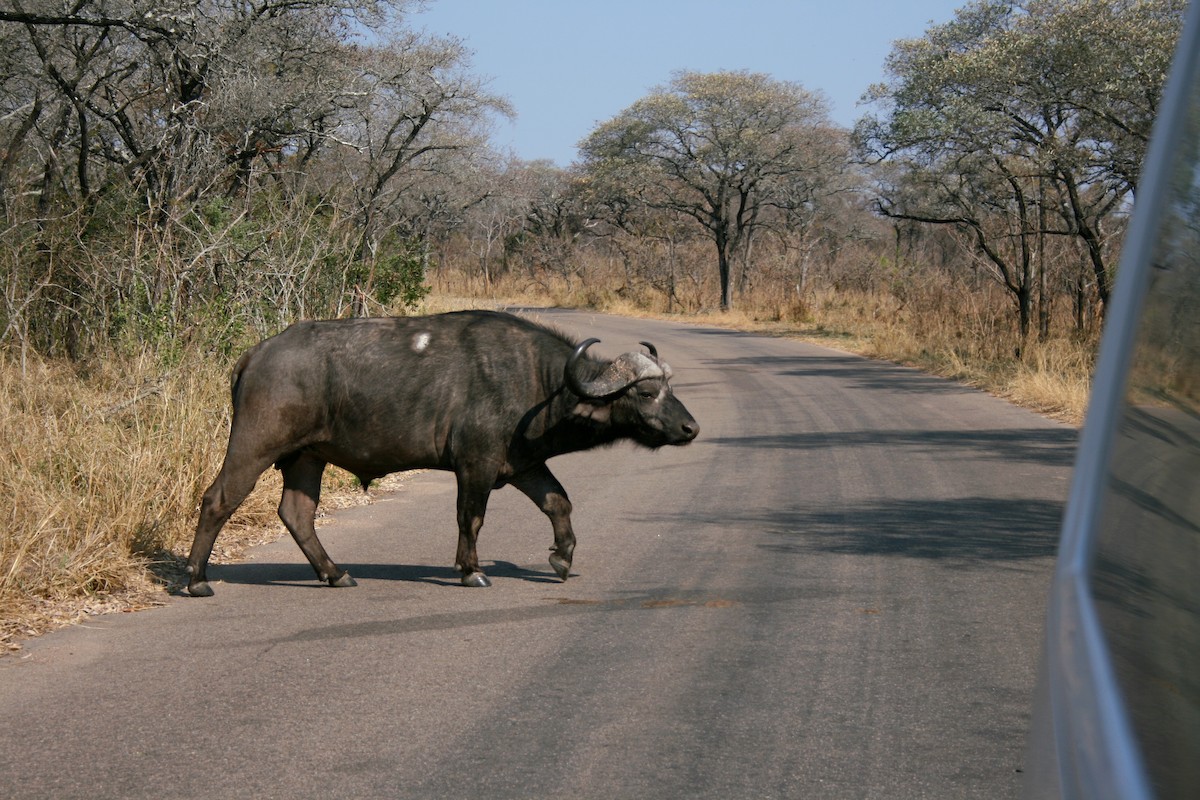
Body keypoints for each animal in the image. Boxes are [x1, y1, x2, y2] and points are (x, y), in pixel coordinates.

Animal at [185, 310, 699, 596]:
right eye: (647, 392)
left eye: (670, 387)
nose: (691, 428)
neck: (540, 382)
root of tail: (255, 355)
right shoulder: (476, 466)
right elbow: (471, 518)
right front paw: (471, 572)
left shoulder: (524, 466)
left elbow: (559, 502)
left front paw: (563, 558)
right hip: (254, 445)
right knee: (217, 500)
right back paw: (196, 579)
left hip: (307, 457)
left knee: (296, 513)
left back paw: (336, 574)